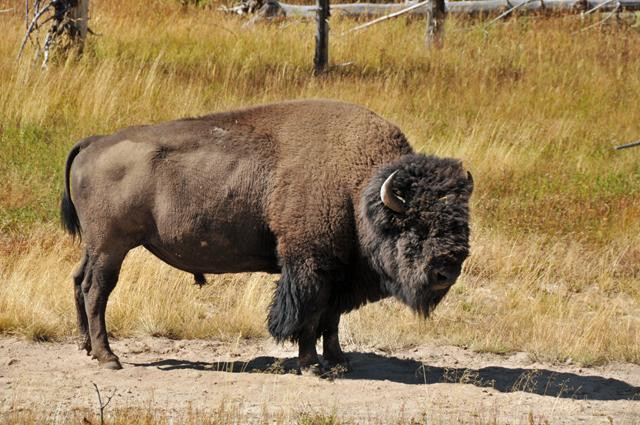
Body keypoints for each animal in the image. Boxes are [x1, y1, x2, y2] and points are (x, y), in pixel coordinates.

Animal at [62, 98, 472, 372]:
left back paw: (86, 347)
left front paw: (339, 360)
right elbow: (309, 316)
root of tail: (94, 141)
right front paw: (312, 364)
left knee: (79, 280)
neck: (357, 187)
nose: (446, 271)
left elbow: (331, 320)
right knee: (97, 290)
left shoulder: (338, 271)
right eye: (415, 226)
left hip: (95, 248)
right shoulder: (309, 265)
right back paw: (108, 357)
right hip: (111, 247)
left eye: (462, 222)